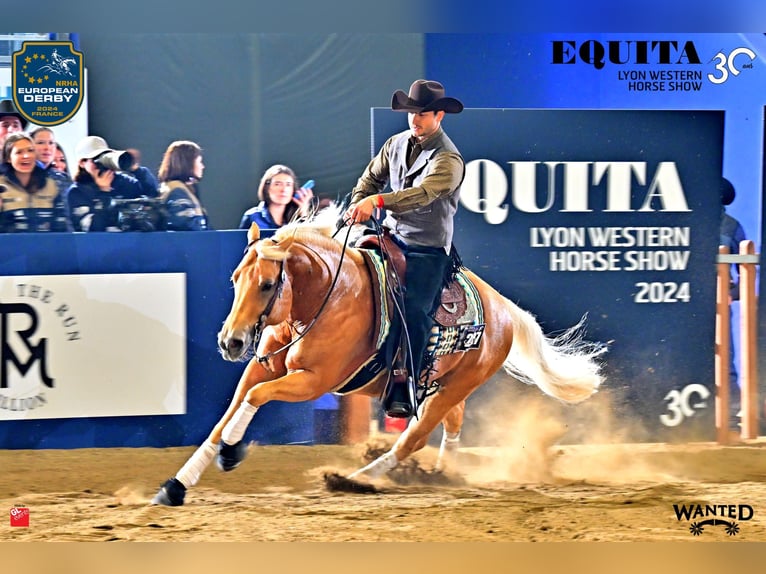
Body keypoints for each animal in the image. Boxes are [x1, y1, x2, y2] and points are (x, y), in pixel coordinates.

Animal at [152, 209, 608, 506]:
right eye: (234, 279)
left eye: (266, 284)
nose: (230, 341)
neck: (326, 297)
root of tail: (503, 308)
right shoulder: (260, 367)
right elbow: (227, 414)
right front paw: (178, 484)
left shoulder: (312, 381)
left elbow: (255, 399)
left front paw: (232, 452)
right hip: (445, 386)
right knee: (452, 422)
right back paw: (441, 474)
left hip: (455, 386)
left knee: (414, 437)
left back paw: (354, 479)